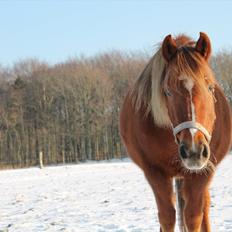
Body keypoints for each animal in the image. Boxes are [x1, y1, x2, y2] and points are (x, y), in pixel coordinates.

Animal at [119, 33, 232, 232]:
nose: (194, 150)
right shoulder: (154, 172)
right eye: (167, 92)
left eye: (210, 87)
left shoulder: (202, 174)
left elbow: (193, 216)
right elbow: (167, 217)